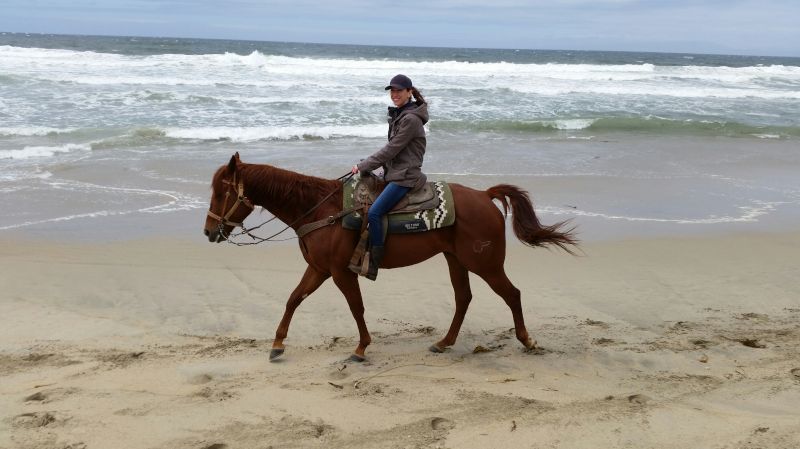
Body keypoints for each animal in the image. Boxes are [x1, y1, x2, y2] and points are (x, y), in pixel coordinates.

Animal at [205, 153, 576, 360]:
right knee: (464, 298)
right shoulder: (319, 269)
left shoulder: (340, 271)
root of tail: (485, 196)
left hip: (484, 263)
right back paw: (444, 342)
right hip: (455, 260)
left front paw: (361, 348)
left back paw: (527, 341)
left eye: (222, 192)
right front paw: (278, 344)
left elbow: (356, 307)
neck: (322, 209)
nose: (209, 232)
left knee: (511, 294)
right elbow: (293, 299)